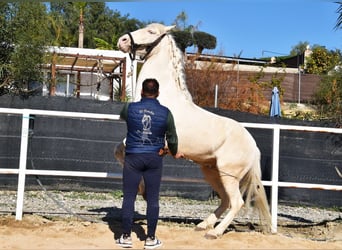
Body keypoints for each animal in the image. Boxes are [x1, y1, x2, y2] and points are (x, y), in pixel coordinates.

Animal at [116, 23, 272, 238]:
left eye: (151, 32)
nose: (122, 40)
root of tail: (254, 147)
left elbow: (123, 153)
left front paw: (143, 191)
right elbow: (119, 152)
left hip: (228, 175)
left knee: (236, 202)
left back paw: (215, 233)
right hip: (212, 172)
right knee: (225, 200)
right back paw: (203, 225)